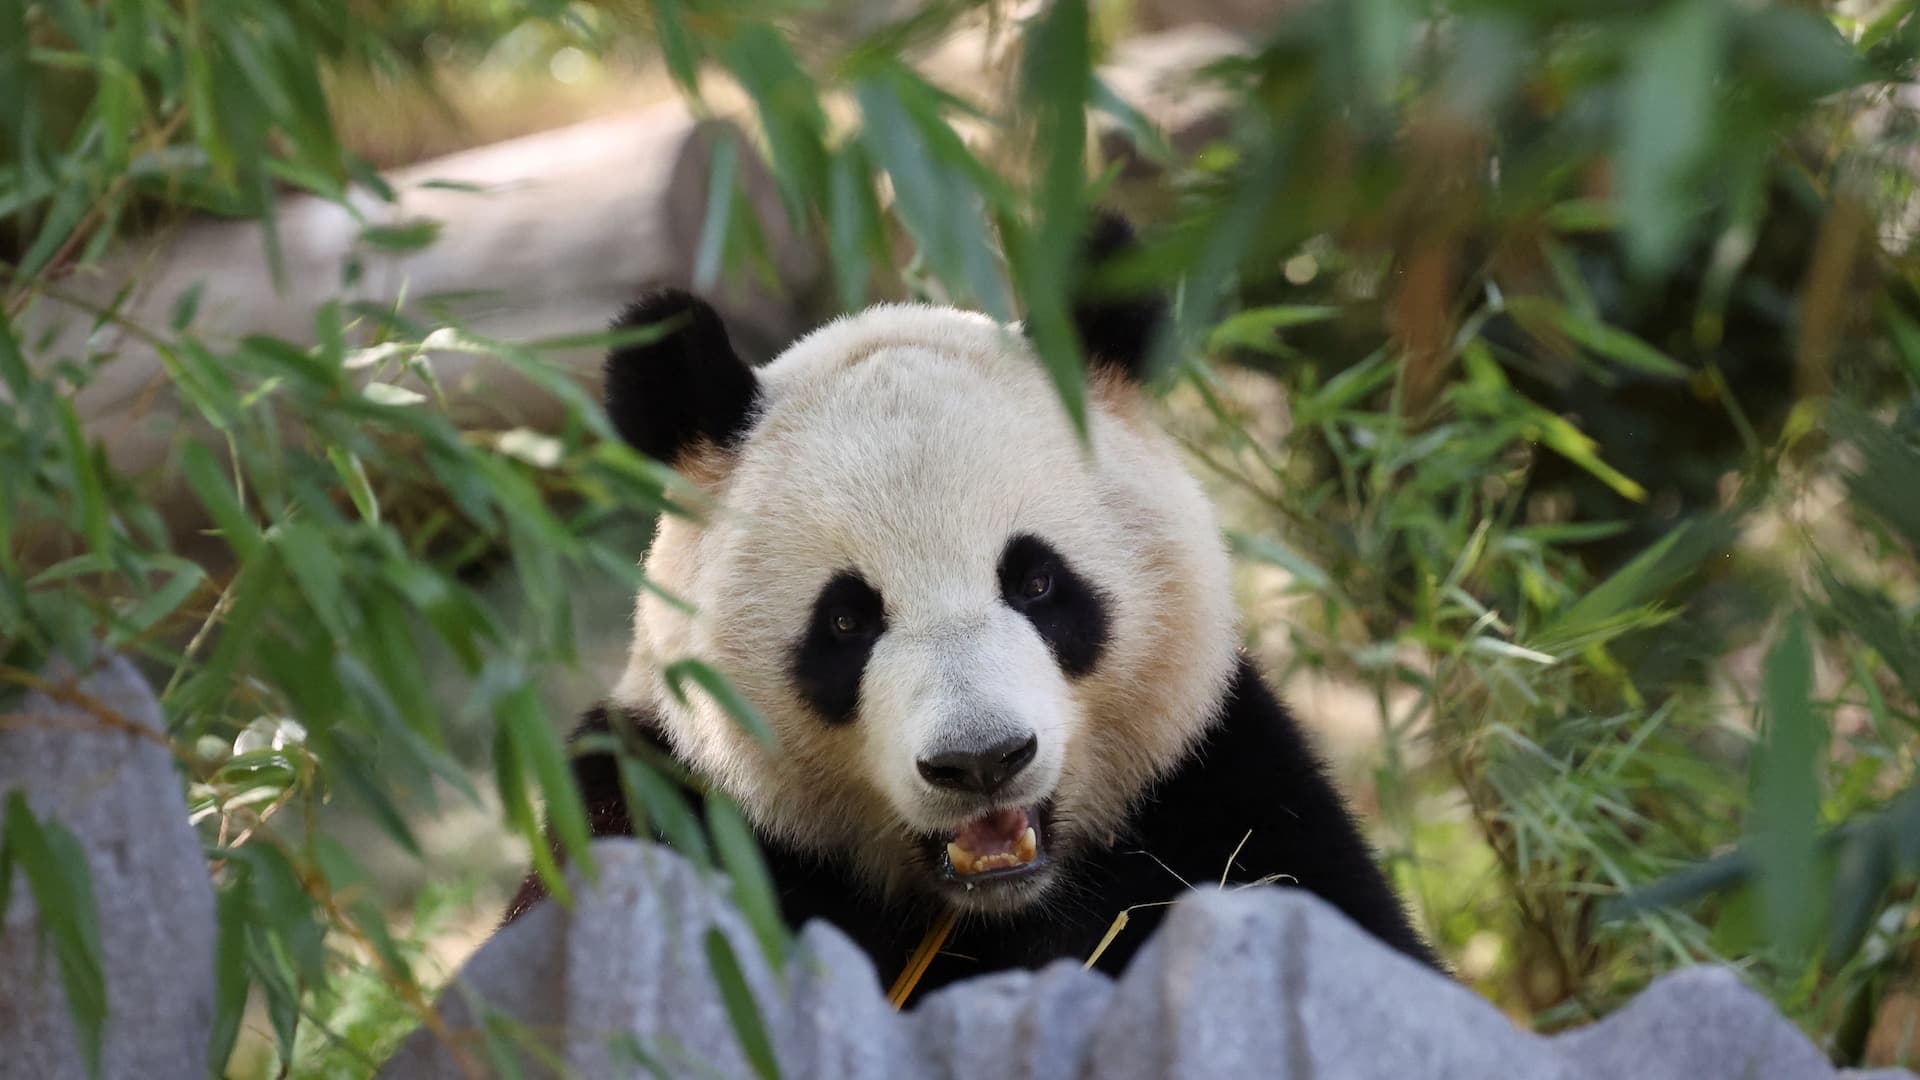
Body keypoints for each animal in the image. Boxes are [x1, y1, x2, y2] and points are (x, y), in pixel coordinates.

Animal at [504, 214, 1441, 1001]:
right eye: (846, 620)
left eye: (1036, 582)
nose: (982, 760)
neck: (993, 903)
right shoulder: (661, 811)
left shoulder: (1223, 789)